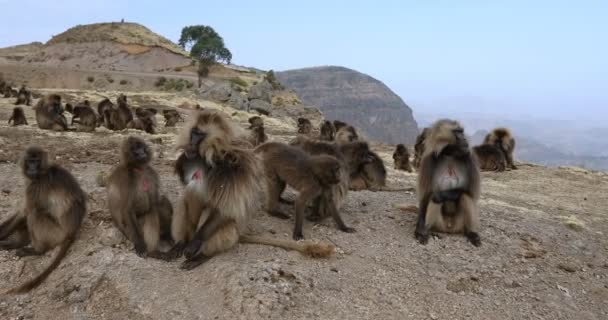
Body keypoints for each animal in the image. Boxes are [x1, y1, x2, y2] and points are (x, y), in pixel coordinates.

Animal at [0, 146, 86, 294]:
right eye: (29, 161)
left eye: (36, 161)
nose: (32, 169)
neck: (43, 173)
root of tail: (72, 232)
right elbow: (20, 212)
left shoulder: (35, 186)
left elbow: (25, 212)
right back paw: (18, 243)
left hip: (56, 234)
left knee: (35, 213)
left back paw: (37, 250)